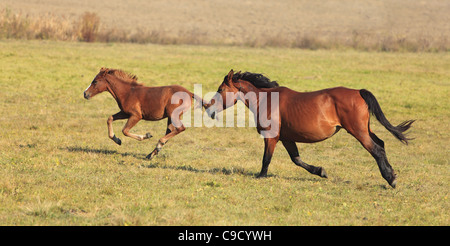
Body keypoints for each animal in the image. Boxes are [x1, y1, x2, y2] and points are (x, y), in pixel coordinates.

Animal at [206, 70, 414, 187]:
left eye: (221, 89)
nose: (209, 109)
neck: (266, 100)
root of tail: (358, 92)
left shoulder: (271, 138)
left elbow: (266, 159)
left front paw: (261, 176)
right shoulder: (286, 138)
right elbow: (297, 159)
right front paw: (320, 171)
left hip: (359, 132)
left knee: (377, 150)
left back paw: (390, 179)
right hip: (366, 130)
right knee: (382, 144)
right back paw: (391, 174)